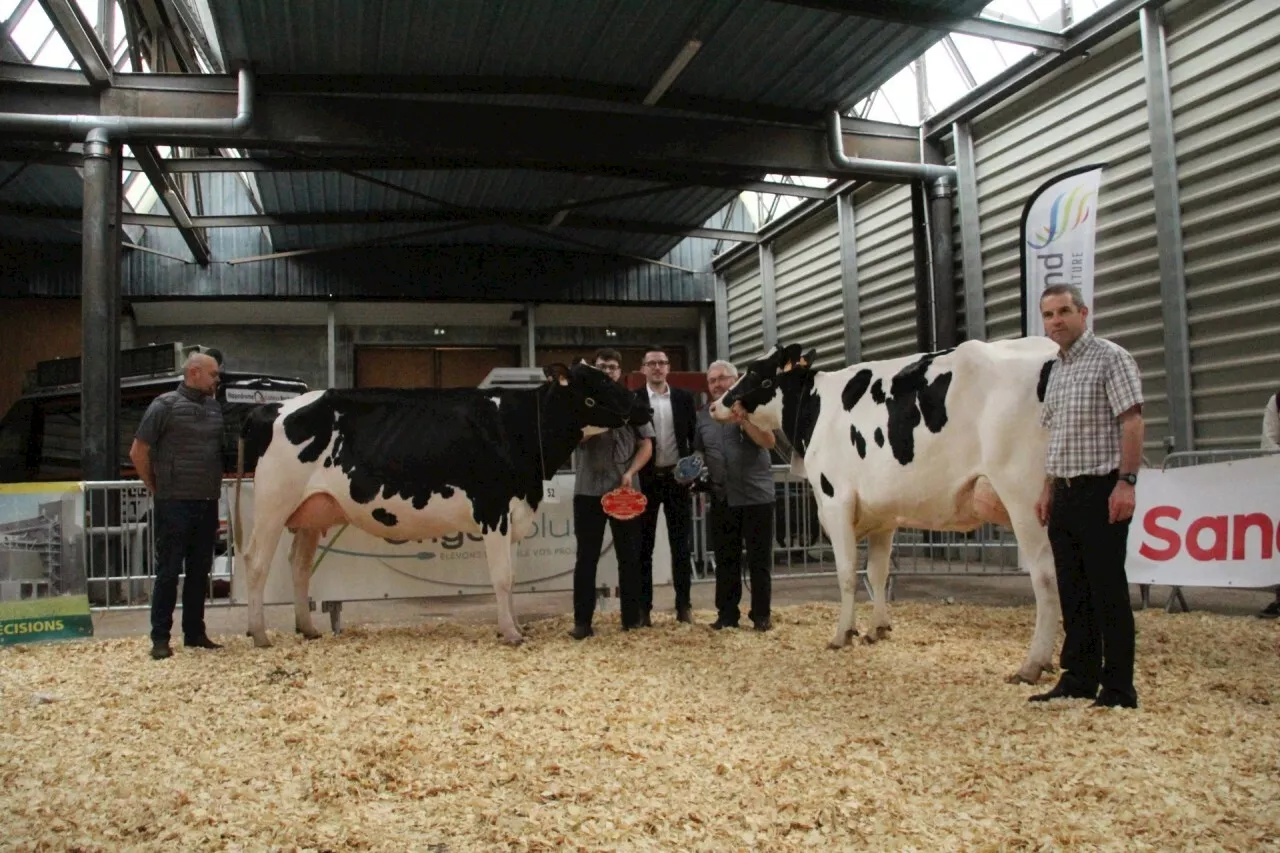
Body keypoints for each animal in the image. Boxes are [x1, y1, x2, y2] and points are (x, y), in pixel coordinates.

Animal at [232, 361, 650, 648]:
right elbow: (502, 577)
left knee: (299, 565)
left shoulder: (515, 515)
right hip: (272, 503)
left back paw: (308, 629)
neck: (518, 430)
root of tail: (271, 408)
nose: (643, 406)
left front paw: (515, 625)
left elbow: (512, 578)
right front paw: (511, 633)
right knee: (256, 561)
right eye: (602, 381)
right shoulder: (493, 510)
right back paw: (259, 634)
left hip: (310, 512)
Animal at [716, 338, 1064, 686]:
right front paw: (877, 629)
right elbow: (877, 573)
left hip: (1024, 497)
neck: (815, 407)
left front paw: (843, 634)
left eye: (755, 372)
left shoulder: (835, 501)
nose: (717, 403)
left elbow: (847, 573)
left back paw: (1032, 664)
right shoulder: (882, 516)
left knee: (1046, 577)